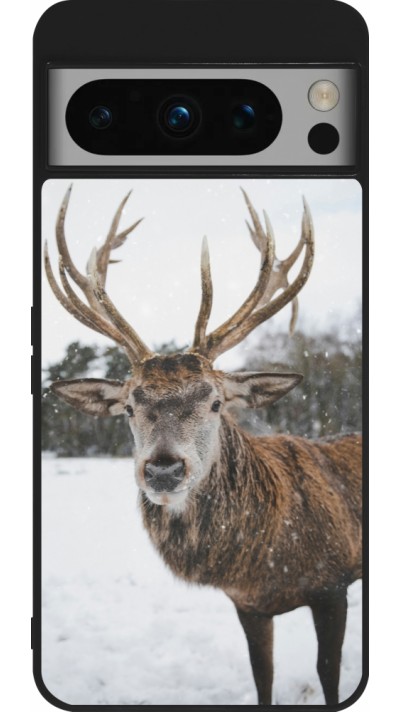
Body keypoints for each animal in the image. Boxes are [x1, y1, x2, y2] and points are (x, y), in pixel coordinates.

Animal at [44, 186, 362, 706]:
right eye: (129, 407)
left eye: (215, 402)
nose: (163, 470)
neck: (265, 560)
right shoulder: (248, 604)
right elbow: (262, 676)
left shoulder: (333, 582)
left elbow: (328, 674)